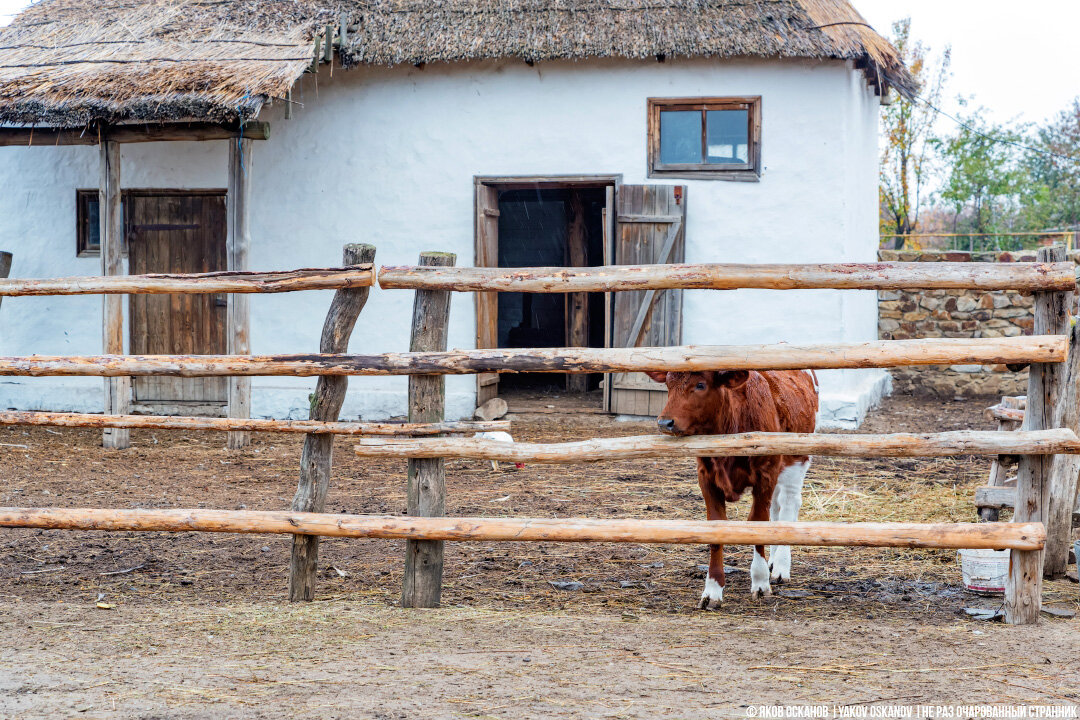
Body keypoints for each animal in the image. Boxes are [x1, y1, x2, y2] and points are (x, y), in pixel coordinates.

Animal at [643, 369, 812, 613]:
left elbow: (758, 524)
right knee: (776, 507)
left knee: (789, 505)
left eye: (701, 385)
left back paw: (781, 566)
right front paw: (712, 591)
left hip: (796, 460)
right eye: (668, 384)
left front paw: (760, 582)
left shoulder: (766, 474)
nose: (665, 423)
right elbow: (716, 527)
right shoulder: (706, 478)